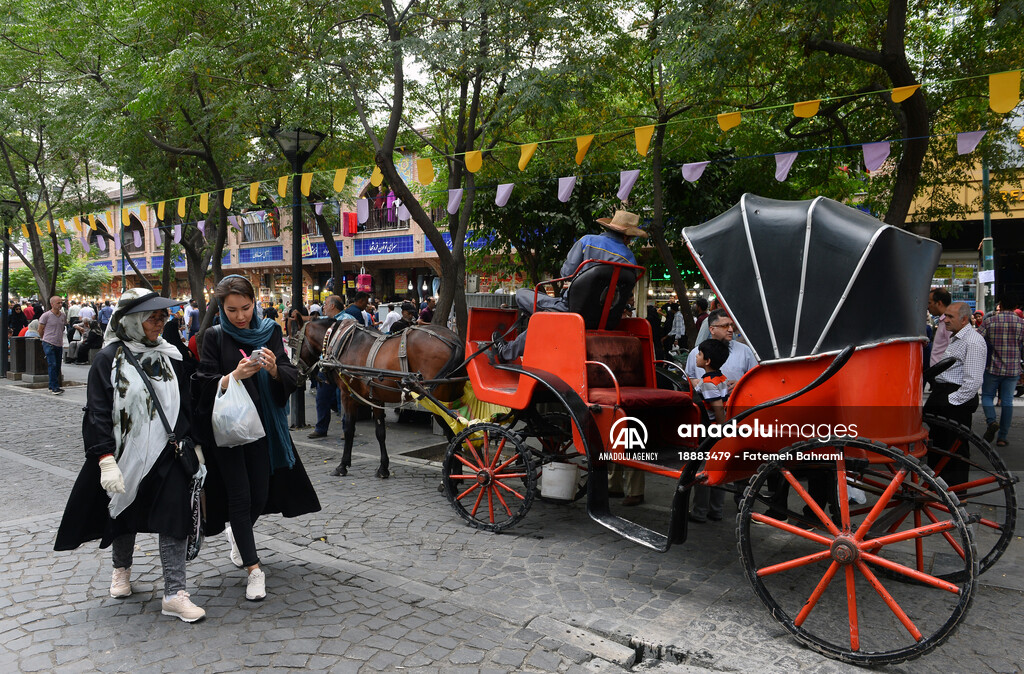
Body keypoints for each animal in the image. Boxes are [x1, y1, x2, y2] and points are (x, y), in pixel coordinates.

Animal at [290, 319, 462, 477]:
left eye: (294, 341)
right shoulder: (376, 398)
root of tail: (453, 338)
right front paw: (383, 468)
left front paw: (342, 465)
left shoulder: (347, 395)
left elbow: (349, 429)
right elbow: (380, 432)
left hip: (437, 403)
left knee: (454, 436)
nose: (296, 372)